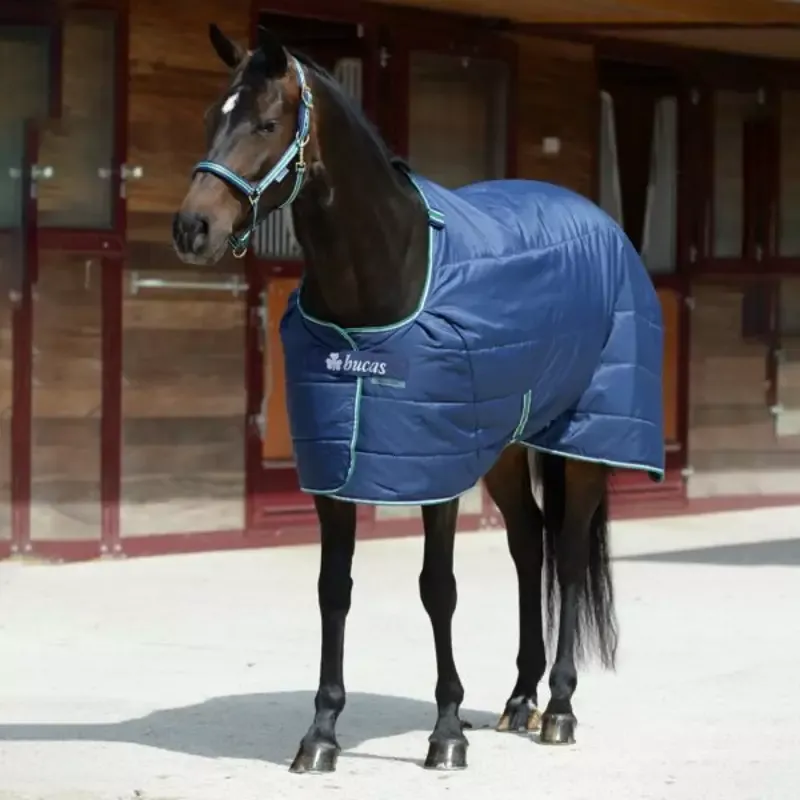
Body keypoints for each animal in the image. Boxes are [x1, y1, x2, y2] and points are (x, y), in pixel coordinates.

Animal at [172, 23, 665, 774]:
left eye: (265, 123)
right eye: (208, 118)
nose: (192, 228)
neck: (385, 279)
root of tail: (600, 220)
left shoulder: (433, 467)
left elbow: (439, 590)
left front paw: (448, 733)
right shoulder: (339, 466)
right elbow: (333, 590)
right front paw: (321, 734)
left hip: (584, 438)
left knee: (570, 553)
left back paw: (558, 708)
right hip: (503, 444)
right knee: (530, 545)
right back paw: (520, 699)